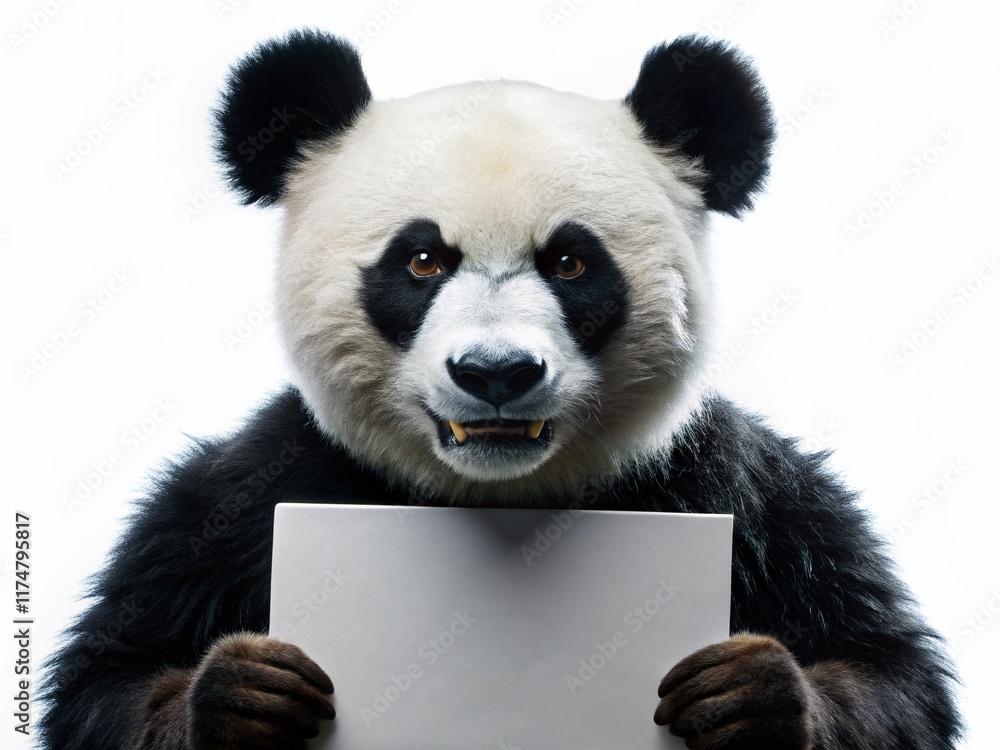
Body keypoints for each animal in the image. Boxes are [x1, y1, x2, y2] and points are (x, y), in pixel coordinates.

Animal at [39, 29, 961, 750]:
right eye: (422, 259)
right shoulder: (251, 491)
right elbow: (109, 678)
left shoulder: (737, 488)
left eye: (570, 262)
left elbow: (891, 676)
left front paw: (748, 696)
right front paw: (246, 696)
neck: (494, 495)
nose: (495, 372)